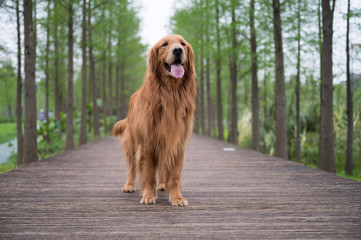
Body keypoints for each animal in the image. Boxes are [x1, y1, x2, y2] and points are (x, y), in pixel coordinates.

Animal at [113, 34, 195, 206]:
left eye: (183, 44)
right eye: (164, 44)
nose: (178, 50)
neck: (170, 93)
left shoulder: (177, 142)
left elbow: (174, 175)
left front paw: (176, 197)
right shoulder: (148, 143)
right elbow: (148, 173)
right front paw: (149, 195)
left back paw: (163, 184)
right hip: (132, 143)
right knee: (131, 167)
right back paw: (129, 185)